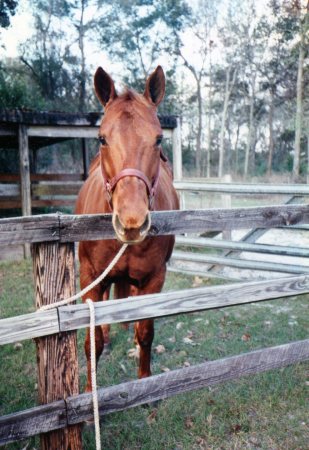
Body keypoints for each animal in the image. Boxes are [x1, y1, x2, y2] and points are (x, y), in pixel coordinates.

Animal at [75, 66, 179, 390]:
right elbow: (92, 341)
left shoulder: (155, 279)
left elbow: (145, 333)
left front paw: (145, 383)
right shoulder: (90, 277)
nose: (132, 222)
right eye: (101, 139)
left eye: (158, 139)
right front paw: (88, 393)